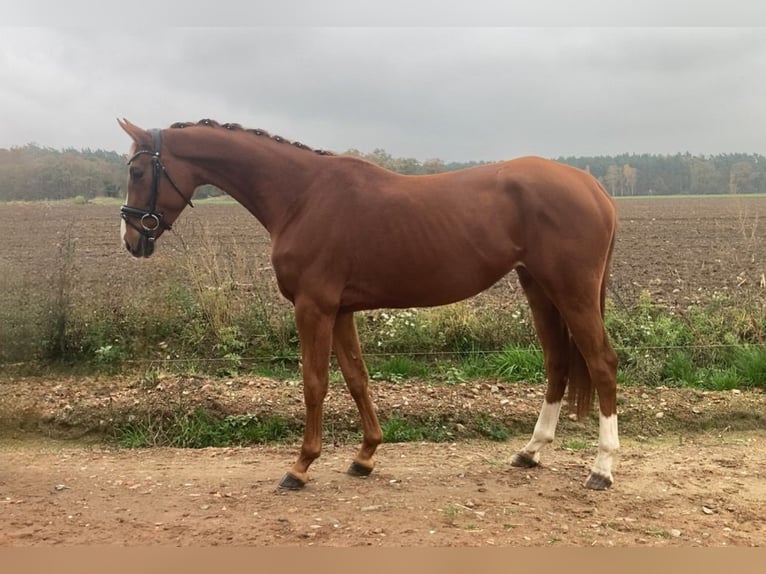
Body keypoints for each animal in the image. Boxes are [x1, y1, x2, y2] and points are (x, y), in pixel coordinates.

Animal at [121, 117, 624, 490]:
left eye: (137, 172)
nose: (131, 239)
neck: (302, 196)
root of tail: (593, 186)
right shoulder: (341, 311)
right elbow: (357, 379)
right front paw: (365, 457)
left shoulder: (314, 308)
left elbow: (315, 383)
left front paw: (300, 467)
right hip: (539, 289)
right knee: (558, 362)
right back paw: (530, 452)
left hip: (572, 292)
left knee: (601, 362)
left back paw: (601, 469)